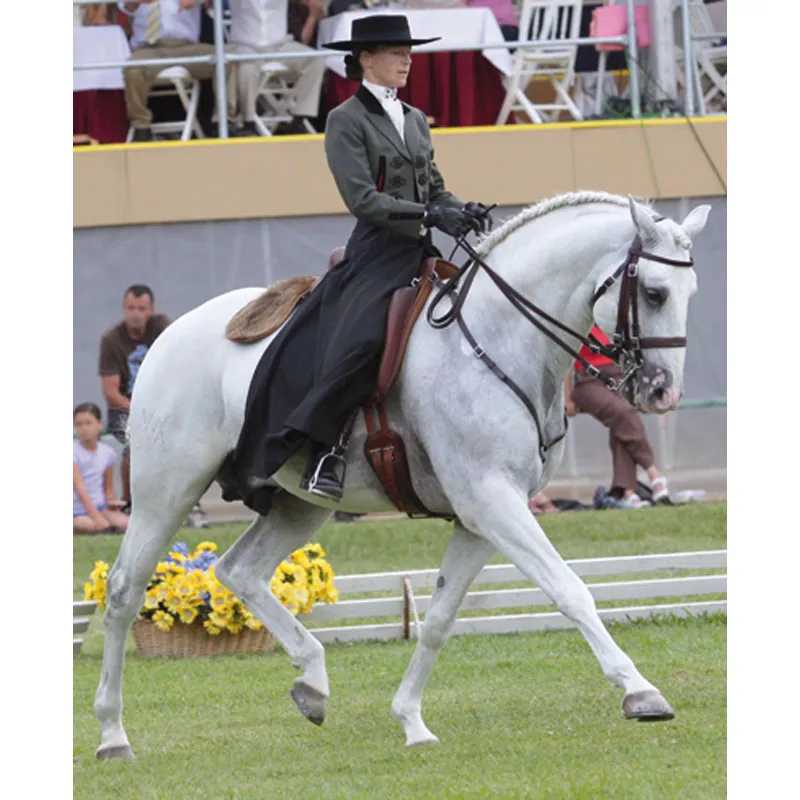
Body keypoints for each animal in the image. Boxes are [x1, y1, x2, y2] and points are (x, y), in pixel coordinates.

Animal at [93, 191, 710, 758]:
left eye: (690, 294)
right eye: (654, 293)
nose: (662, 392)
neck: (498, 339)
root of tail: (170, 334)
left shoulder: (479, 518)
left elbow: (438, 618)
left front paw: (411, 721)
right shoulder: (492, 500)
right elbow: (569, 589)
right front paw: (640, 692)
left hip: (298, 505)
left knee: (238, 570)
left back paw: (312, 682)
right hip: (167, 490)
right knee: (125, 591)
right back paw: (113, 734)